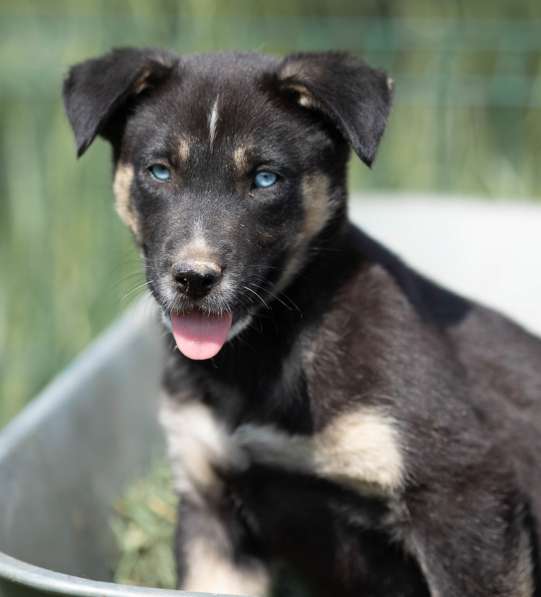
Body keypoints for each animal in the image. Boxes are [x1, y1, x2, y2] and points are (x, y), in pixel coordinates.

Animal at [63, 49, 540, 592]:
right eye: (159, 171)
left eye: (265, 178)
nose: (193, 279)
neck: (264, 349)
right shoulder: (212, 510)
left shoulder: (464, 496)